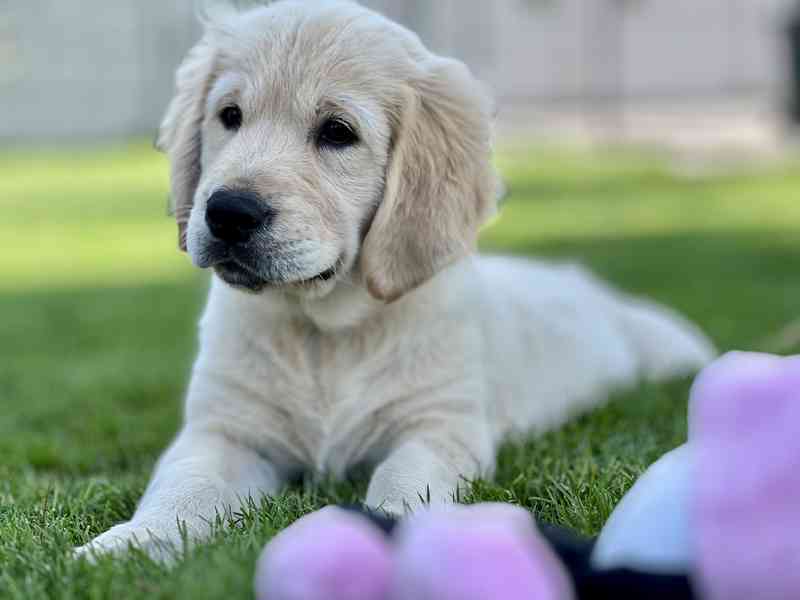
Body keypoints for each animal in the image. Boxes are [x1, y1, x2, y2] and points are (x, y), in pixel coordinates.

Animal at [75, 0, 712, 560]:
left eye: (337, 132)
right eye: (229, 116)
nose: (228, 213)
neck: (325, 331)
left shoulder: (441, 426)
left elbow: (405, 477)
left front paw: (394, 531)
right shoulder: (223, 430)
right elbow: (185, 484)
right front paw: (131, 542)